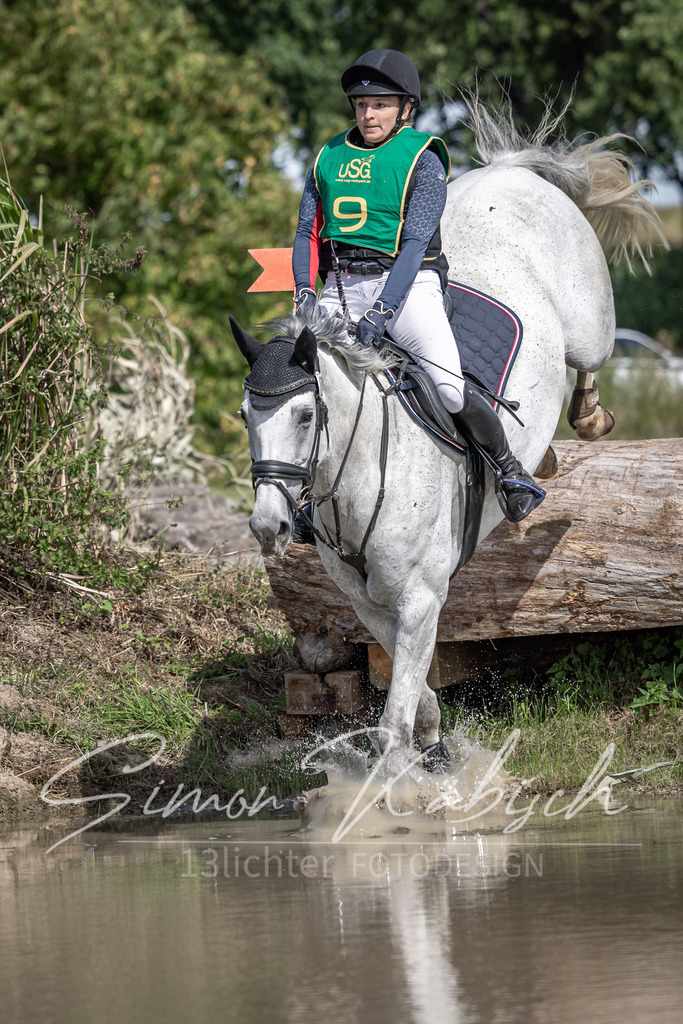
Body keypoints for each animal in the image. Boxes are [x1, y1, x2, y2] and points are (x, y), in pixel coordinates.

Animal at [230, 100, 663, 771]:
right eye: (246, 416)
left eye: (305, 417)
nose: (267, 527)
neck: (359, 476)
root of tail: (513, 172)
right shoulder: (368, 601)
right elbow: (414, 682)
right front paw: (434, 737)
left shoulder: (420, 596)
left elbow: (392, 722)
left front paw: (399, 778)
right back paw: (541, 463)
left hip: (590, 323)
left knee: (589, 361)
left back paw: (582, 425)